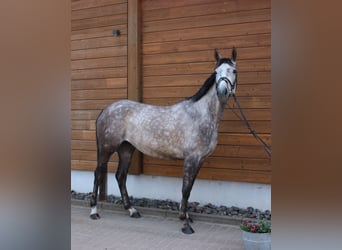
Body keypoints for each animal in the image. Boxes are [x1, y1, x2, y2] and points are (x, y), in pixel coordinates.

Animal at [89, 47, 236, 233]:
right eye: (216, 72)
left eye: (234, 71)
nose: (222, 92)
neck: (200, 115)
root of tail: (106, 110)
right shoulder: (191, 158)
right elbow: (185, 189)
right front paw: (185, 223)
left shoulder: (200, 160)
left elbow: (189, 187)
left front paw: (186, 216)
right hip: (106, 148)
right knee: (98, 173)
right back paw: (94, 211)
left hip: (126, 149)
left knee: (121, 176)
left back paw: (132, 210)